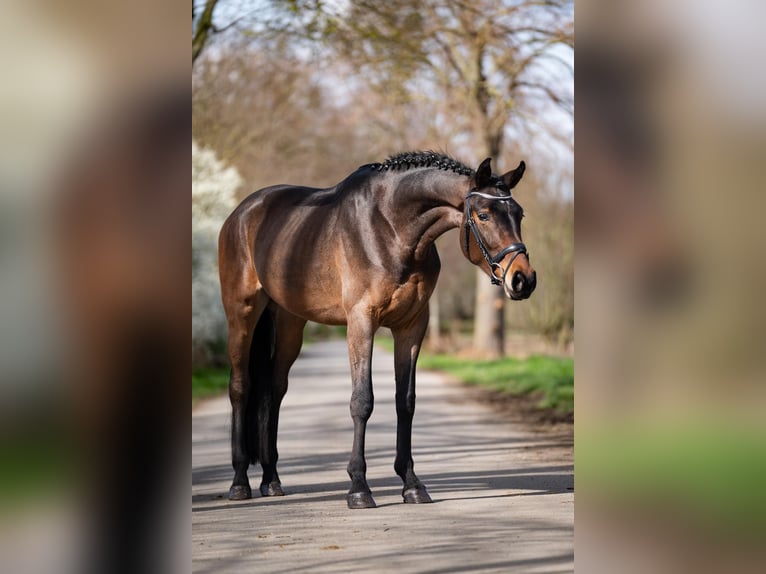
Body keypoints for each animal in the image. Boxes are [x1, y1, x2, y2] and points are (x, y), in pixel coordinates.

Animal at [219, 152, 536, 508]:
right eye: (483, 215)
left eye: (519, 214)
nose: (523, 280)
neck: (392, 230)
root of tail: (243, 211)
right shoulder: (361, 322)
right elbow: (362, 401)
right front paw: (359, 487)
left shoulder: (412, 326)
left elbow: (405, 402)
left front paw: (412, 483)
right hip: (241, 314)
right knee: (240, 387)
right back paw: (240, 481)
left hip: (289, 322)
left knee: (274, 391)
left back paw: (271, 479)